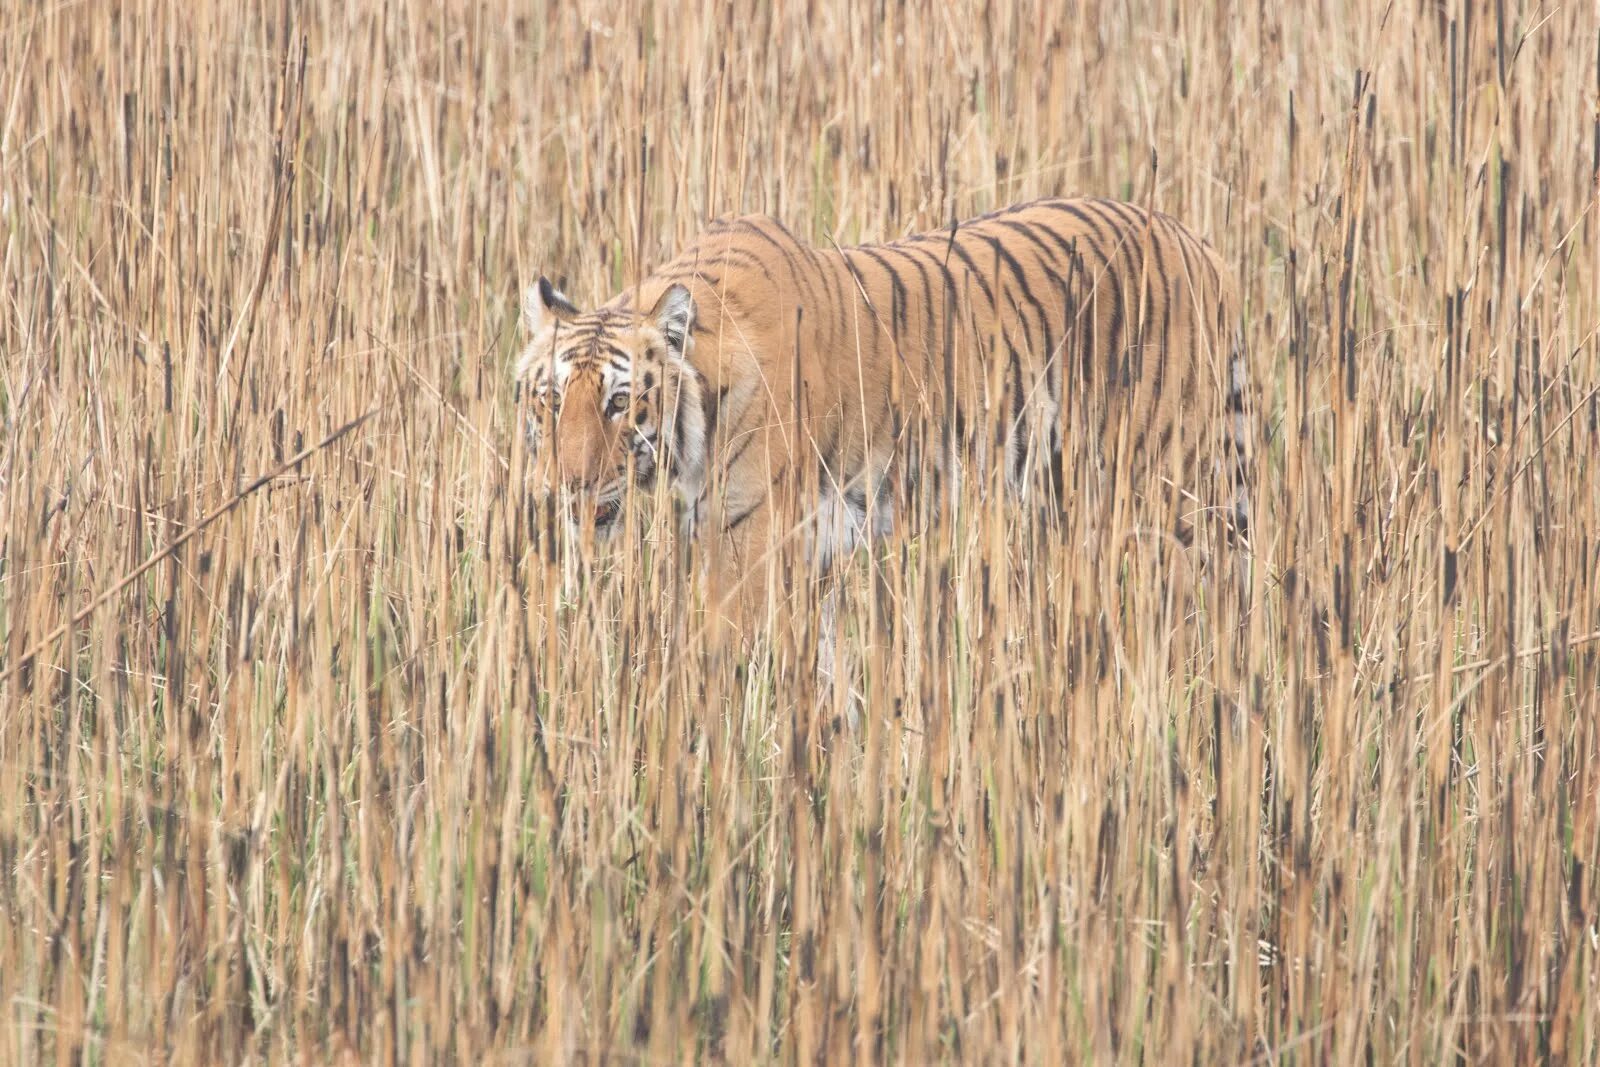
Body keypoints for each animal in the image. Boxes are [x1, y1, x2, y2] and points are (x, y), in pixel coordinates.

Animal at [512, 199, 1248, 614]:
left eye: (619, 403)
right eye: (551, 402)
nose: (564, 488)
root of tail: (1203, 248)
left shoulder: (747, 543)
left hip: (1165, 493)